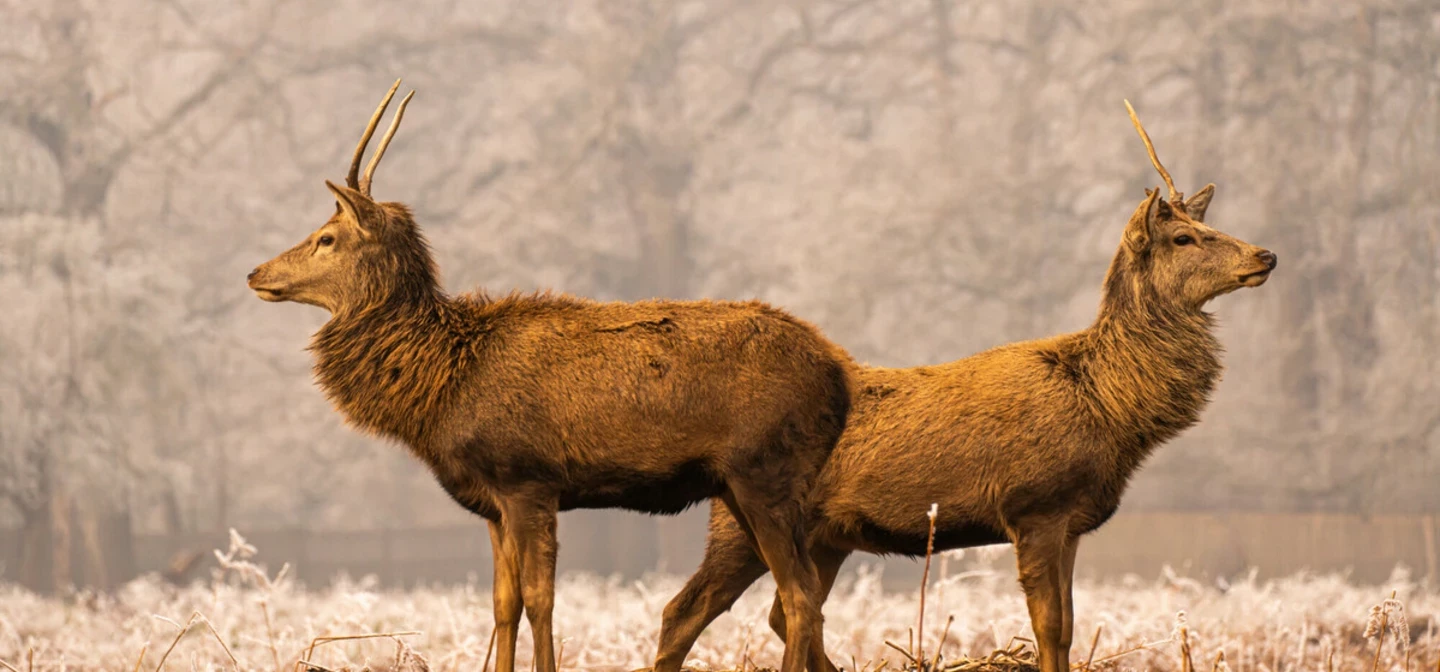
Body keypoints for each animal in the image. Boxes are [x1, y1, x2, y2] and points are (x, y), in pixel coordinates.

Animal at [245, 80, 854, 672]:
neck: (442, 386)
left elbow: (541, 600)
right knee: (801, 598)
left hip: (766, 471)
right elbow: (502, 604)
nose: (255, 271)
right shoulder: (492, 501)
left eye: (327, 236)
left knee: (799, 597)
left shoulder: (527, 477)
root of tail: (838, 376)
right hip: (746, 487)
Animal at [649, 102, 1279, 672]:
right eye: (1182, 238)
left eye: (1208, 226)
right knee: (685, 610)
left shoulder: (1073, 522)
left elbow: (1069, 629)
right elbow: (1049, 627)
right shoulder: (1034, 504)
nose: (1265, 254)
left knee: (785, 612)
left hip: (825, 536)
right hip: (740, 521)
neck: (1110, 410)